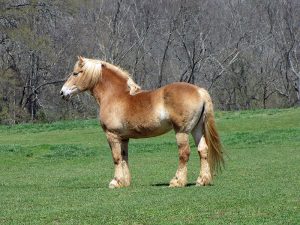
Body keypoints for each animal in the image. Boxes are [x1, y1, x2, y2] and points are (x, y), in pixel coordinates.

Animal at [60, 56, 223, 188]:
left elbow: (116, 158)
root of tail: (199, 91)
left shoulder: (111, 135)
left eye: (75, 73)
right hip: (196, 129)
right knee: (202, 151)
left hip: (182, 131)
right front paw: (124, 182)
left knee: (184, 153)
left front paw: (115, 182)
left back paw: (177, 181)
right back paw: (202, 180)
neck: (115, 96)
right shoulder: (123, 138)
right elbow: (124, 157)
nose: (62, 93)